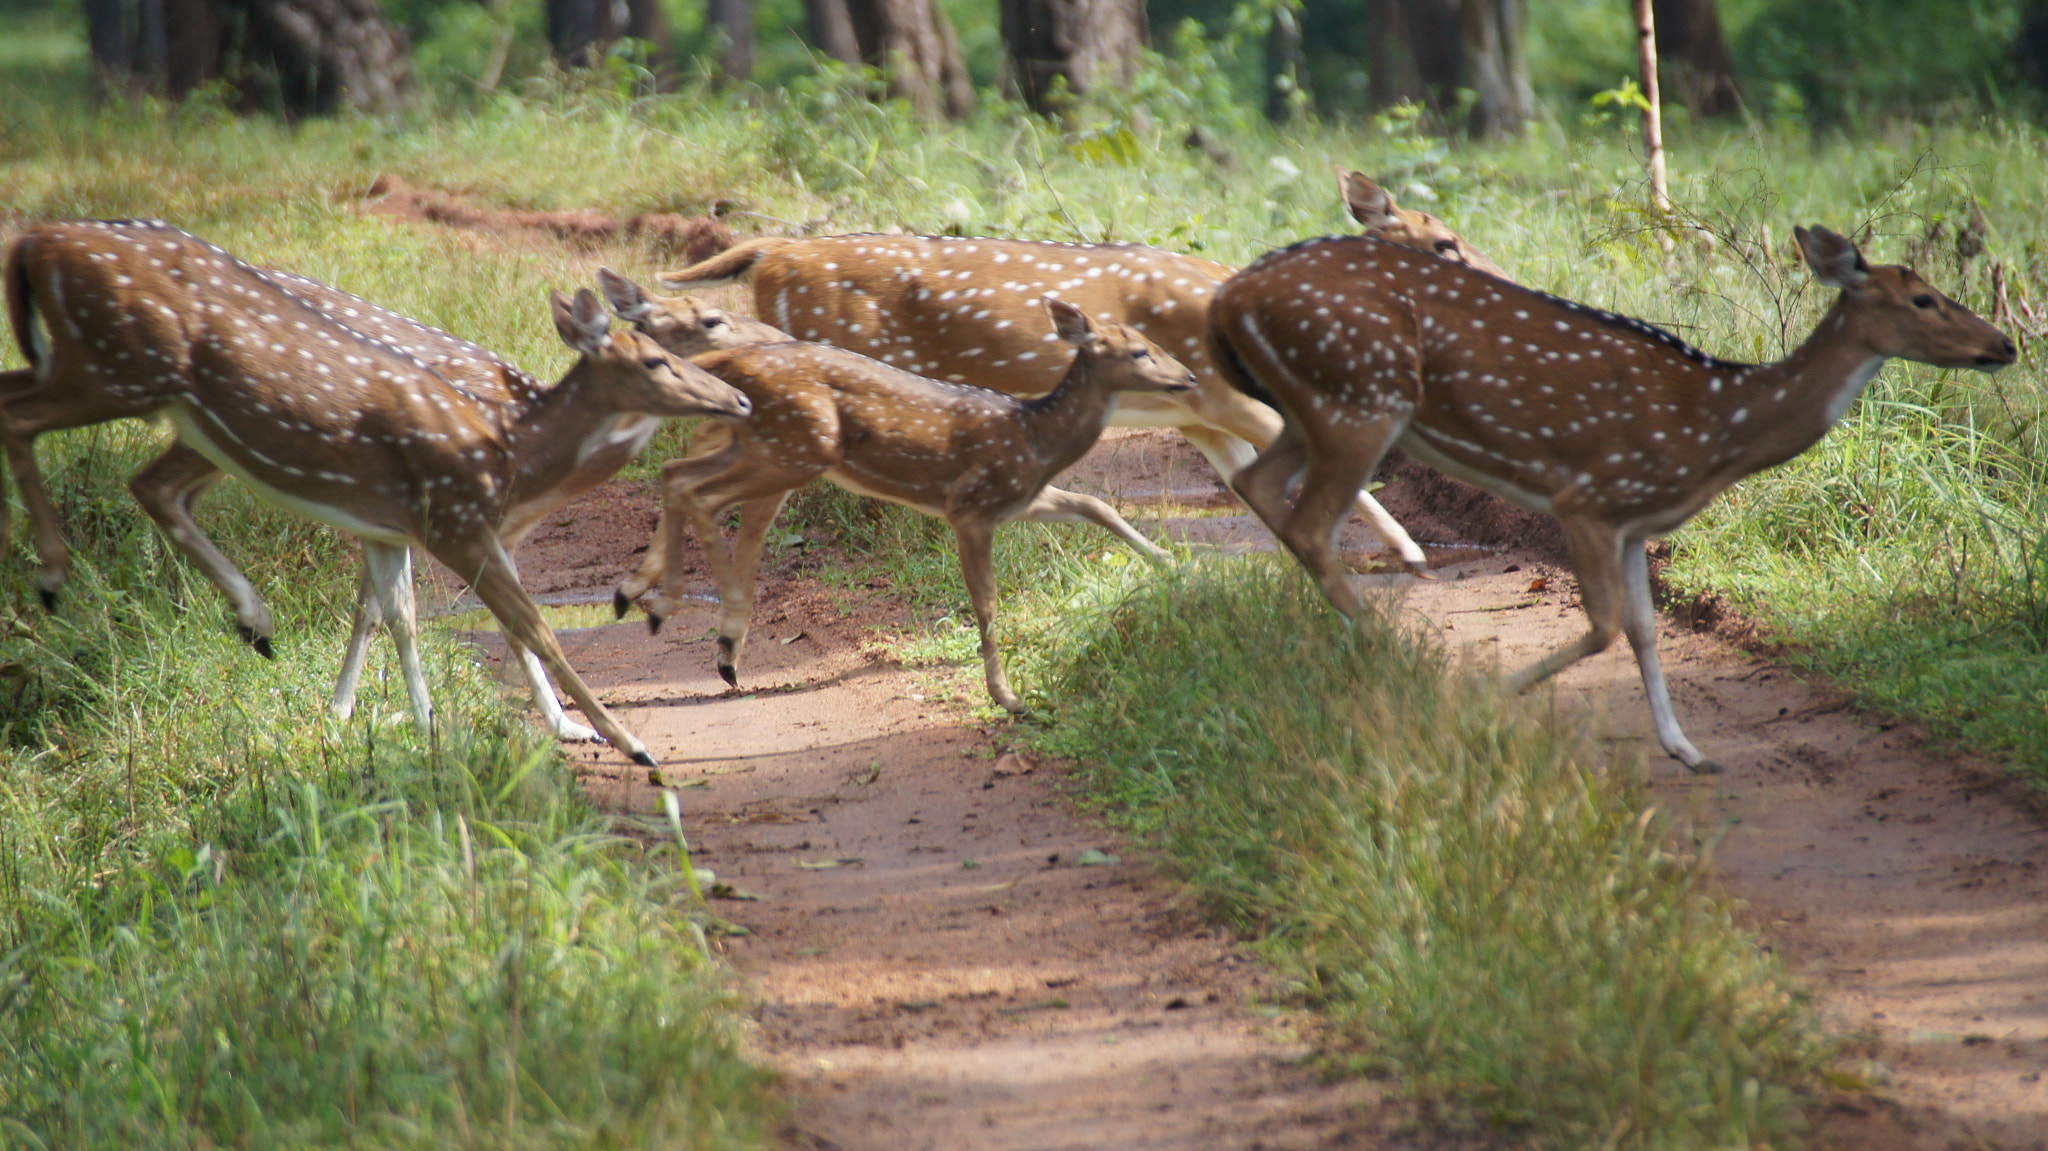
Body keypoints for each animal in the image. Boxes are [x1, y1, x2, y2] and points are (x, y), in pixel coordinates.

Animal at [0, 220, 753, 765]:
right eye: (679, 341)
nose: (741, 394)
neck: (521, 443)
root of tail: (35, 240)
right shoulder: (458, 519)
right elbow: (519, 626)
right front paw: (615, 739)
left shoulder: (414, 524)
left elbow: (400, 612)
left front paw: (417, 722)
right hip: (129, 374)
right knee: (51, 431)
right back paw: (60, 577)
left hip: (140, 391)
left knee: (131, 471)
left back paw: (248, 622)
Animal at [598, 278, 1196, 708]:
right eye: (1140, 352)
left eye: (1155, 343)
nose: (1188, 377)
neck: (1034, 436)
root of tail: (734, 363)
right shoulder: (970, 505)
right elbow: (987, 601)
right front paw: (1007, 696)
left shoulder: (1019, 498)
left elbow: (1093, 503)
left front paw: (1172, 562)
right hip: (799, 447)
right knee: (701, 492)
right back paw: (695, 628)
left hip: (767, 444)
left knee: (678, 472)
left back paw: (665, 612)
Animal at [655, 166, 1507, 573]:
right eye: (1443, 242)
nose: (1502, 281)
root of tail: (772, 252)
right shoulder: (1222, 393)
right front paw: (1409, 555)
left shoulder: (1199, 412)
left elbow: (1251, 488)